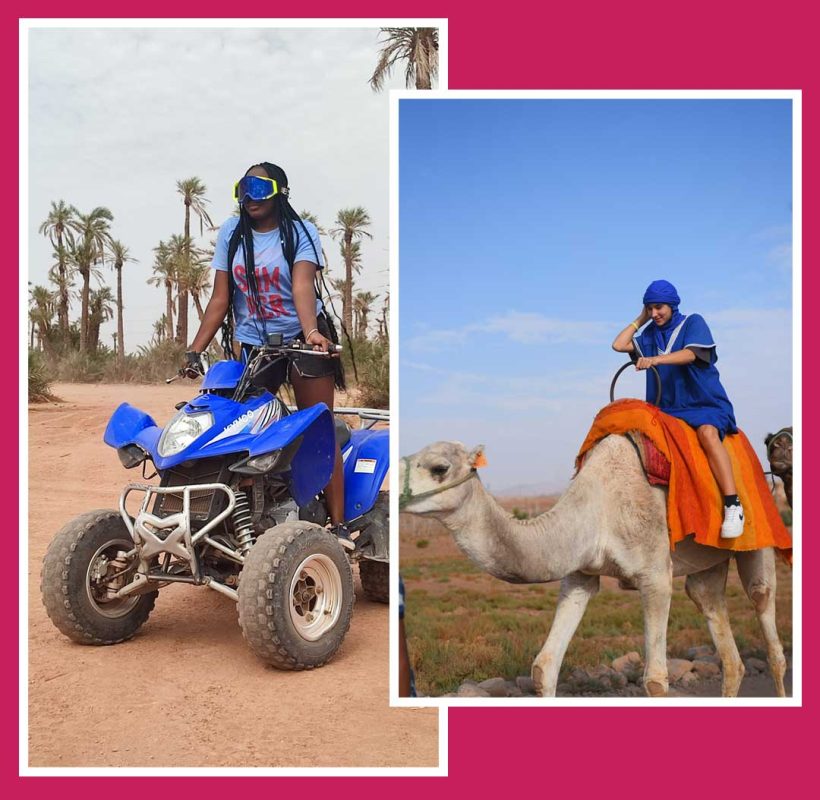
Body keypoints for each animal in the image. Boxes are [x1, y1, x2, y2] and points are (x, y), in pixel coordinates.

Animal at [398, 434, 788, 696]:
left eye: (439, 468)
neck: (597, 507)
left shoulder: (655, 575)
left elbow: (655, 681)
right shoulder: (580, 574)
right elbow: (543, 668)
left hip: (760, 538)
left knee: (766, 616)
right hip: (708, 562)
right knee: (720, 630)